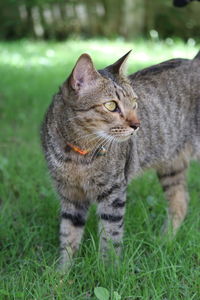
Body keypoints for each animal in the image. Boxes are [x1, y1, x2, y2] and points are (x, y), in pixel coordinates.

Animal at [41, 49, 200, 270]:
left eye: (134, 103)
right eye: (111, 106)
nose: (137, 124)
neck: (78, 156)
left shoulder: (113, 191)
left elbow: (110, 235)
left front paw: (107, 270)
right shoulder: (70, 194)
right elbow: (68, 235)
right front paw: (61, 273)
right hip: (171, 164)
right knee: (180, 201)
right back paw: (165, 240)